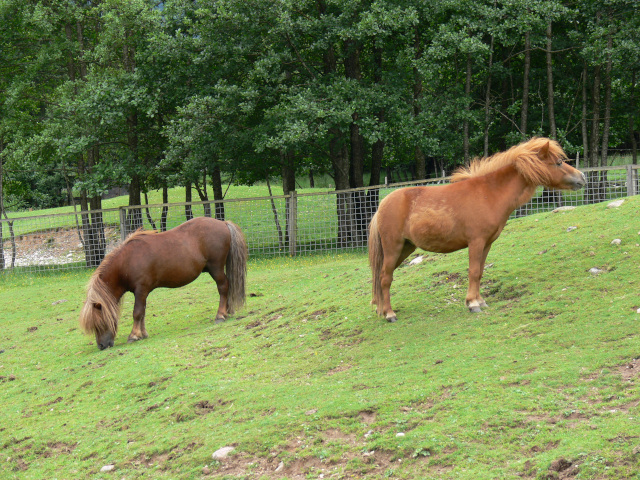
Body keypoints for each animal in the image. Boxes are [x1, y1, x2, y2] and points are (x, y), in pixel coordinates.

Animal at [79, 218, 248, 348]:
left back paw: (220, 315)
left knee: (223, 287)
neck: (126, 262)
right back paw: (227, 311)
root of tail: (223, 223)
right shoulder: (142, 293)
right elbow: (142, 312)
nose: (102, 346)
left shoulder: (141, 290)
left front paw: (134, 335)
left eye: (100, 323)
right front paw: (143, 333)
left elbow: (137, 312)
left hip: (216, 268)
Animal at [370, 137, 584, 320]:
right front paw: (472, 303)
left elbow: (480, 271)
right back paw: (389, 314)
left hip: (405, 248)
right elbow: (473, 271)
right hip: (393, 248)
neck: (489, 194)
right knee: (385, 278)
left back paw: (382, 310)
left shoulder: (487, 244)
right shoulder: (476, 242)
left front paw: (480, 301)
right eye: (558, 162)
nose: (582, 177)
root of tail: (382, 205)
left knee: (382, 278)